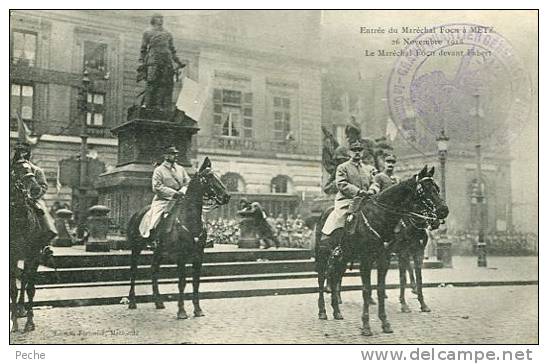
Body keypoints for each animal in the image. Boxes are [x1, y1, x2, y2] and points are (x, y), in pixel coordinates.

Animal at [126, 157, 229, 318]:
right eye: (209, 177)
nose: (226, 196)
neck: (190, 220)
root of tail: (137, 214)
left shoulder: (199, 255)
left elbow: (196, 282)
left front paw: (198, 310)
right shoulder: (181, 256)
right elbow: (182, 282)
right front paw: (181, 311)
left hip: (159, 251)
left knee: (154, 270)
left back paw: (158, 302)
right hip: (136, 248)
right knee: (133, 272)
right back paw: (132, 302)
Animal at [314, 166, 448, 334]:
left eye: (437, 188)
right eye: (425, 190)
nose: (444, 210)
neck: (379, 217)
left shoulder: (387, 258)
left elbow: (382, 287)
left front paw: (385, 322)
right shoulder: (370, 259)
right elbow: (367, 289)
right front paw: (366, 326)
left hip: (343, 257)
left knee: (335, 277)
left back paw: (337, 311)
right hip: (323, 255)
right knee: (322, 279)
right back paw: (322, 312)